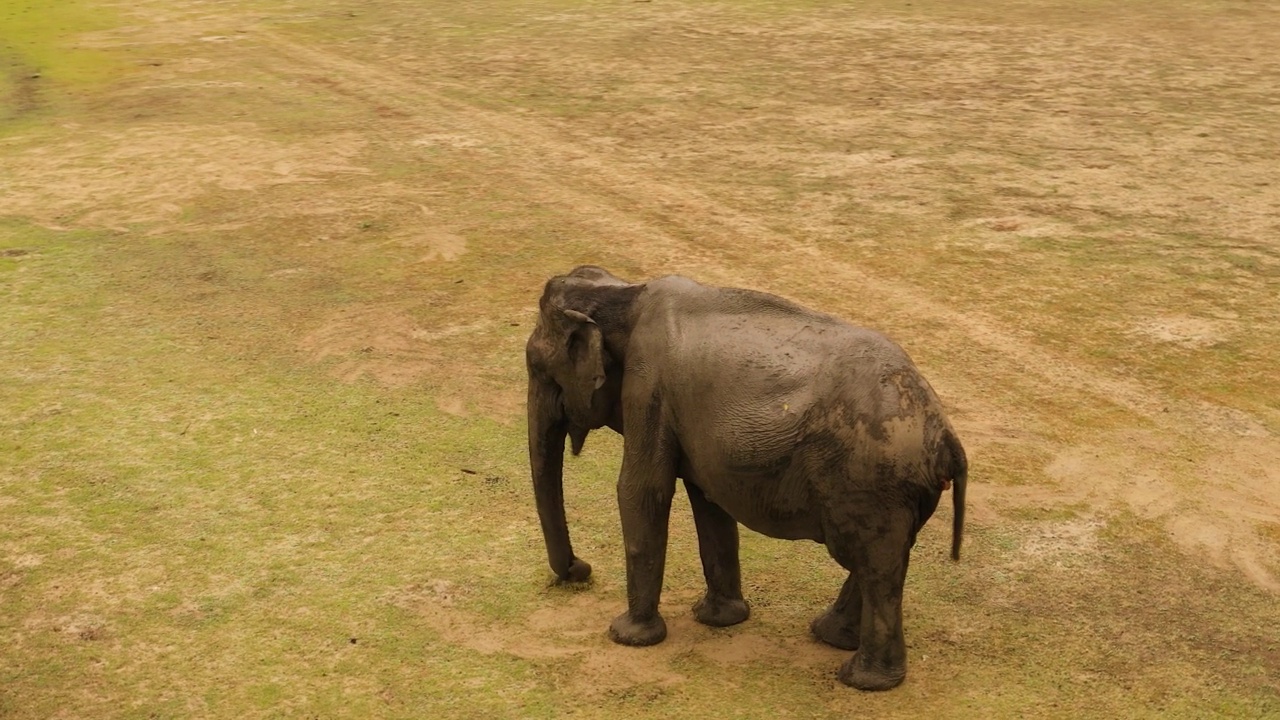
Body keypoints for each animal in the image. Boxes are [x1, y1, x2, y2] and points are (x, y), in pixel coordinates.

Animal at [524, 265, 962, 691]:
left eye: (536, 368)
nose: (580, 569)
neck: (625, 291)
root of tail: (944, 435)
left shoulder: (647, 387)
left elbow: (641, 490)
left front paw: (627, 638)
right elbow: (708, 500)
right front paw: (719, 619)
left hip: (869, 483)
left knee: (874, 565)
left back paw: (863, 680)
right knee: (883, 560)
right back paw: (832, 638)